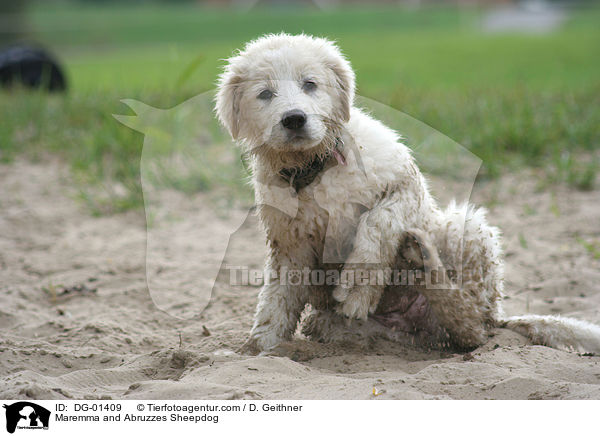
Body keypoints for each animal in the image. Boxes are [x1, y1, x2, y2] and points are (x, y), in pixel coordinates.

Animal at [216, 33, 600, 354]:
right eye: (265, 94)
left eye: (309, 84)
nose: (294, 119)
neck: (315, 166)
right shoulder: (289, 242)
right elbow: (278, 296)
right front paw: (260, 345)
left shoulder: (405, 184)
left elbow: (378, 221)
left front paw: (358, 285)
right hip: (357, 327)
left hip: (466, 229)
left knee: (471, 328)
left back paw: (424, 261)